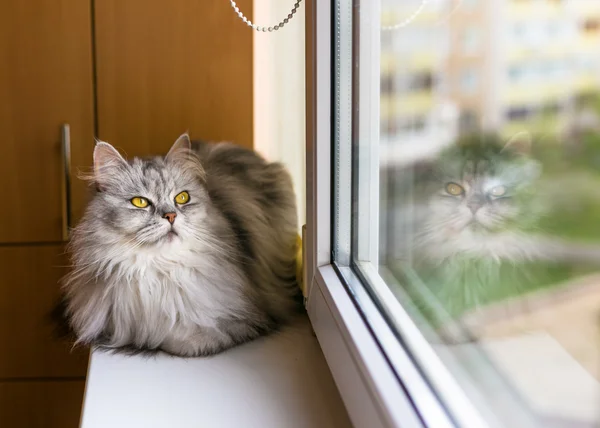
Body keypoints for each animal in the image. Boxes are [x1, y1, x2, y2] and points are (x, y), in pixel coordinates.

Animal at [61, 135, 300, 356]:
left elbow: (181, 338)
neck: (161, 269)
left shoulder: (247, 320)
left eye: (182, 198)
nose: (171, 215)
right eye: (140, 202)